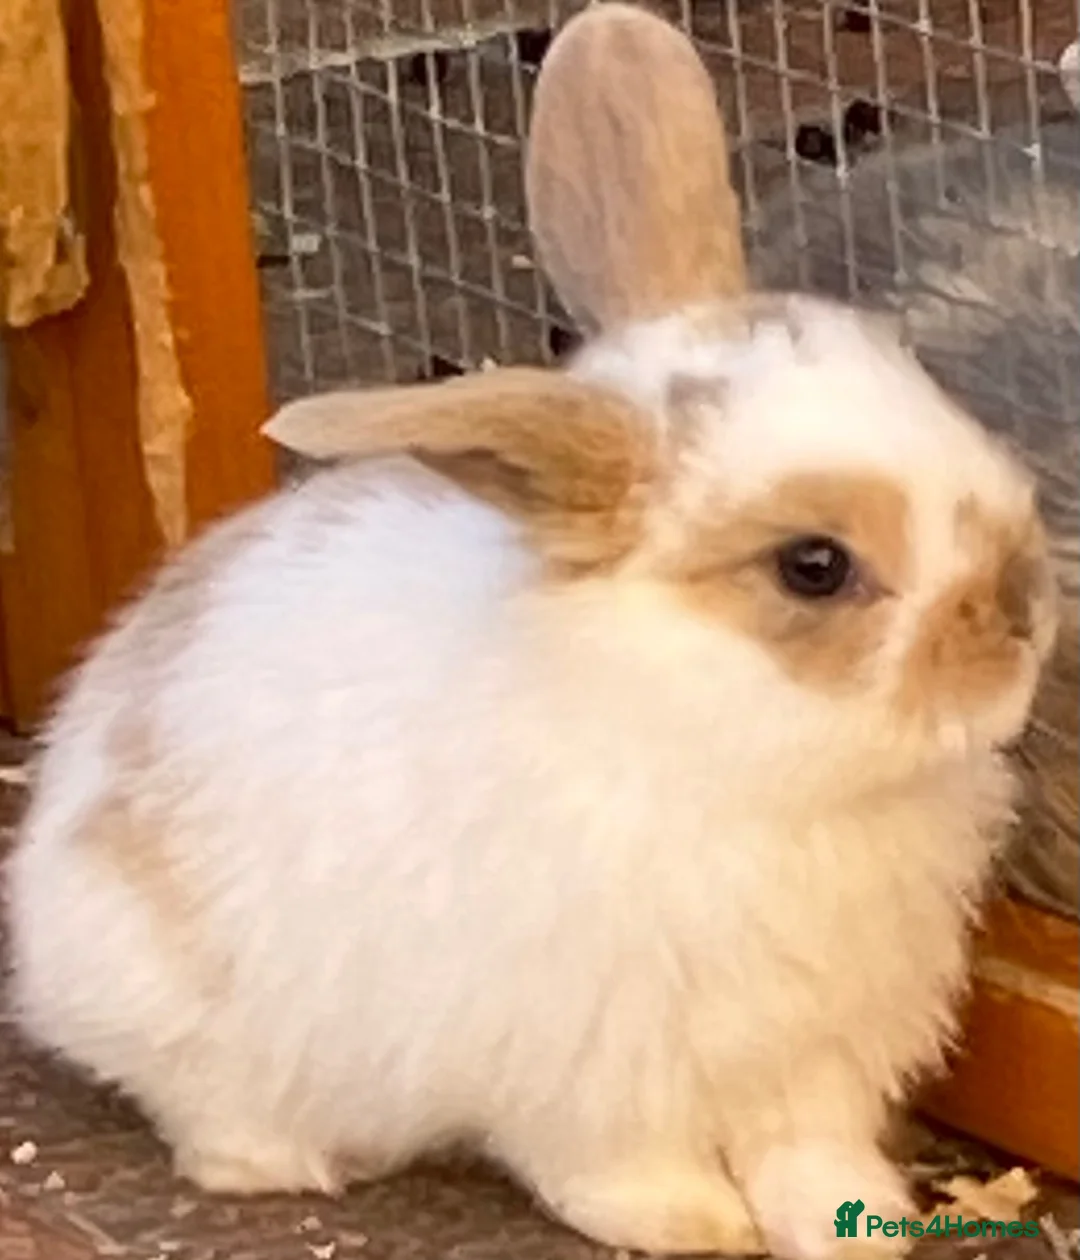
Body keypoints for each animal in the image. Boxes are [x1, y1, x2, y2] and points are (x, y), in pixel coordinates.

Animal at [4, 7, 1059, 1260]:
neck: (745, 771)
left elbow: (809, 1151)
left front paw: (854, 1225)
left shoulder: (818, 1049)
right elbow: (607, 1165)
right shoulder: (583, 1062)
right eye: (814, 566)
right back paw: (286, 1160)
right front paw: (695, 1222)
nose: (1023, 616)